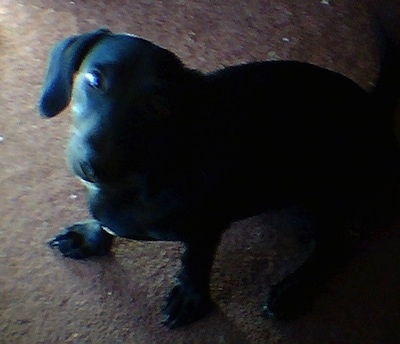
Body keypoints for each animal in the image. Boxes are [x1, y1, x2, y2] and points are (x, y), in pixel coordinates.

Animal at [39, 27, 398, 328]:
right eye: (94, 79)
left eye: (158, 108)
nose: (92, 165)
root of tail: (372, 108)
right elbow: (102, 224)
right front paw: (89, 237)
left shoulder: (206, 225)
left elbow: (195, 261)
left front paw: (190, 297)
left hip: (328, 196)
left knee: (333, 248)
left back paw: (293, 289)